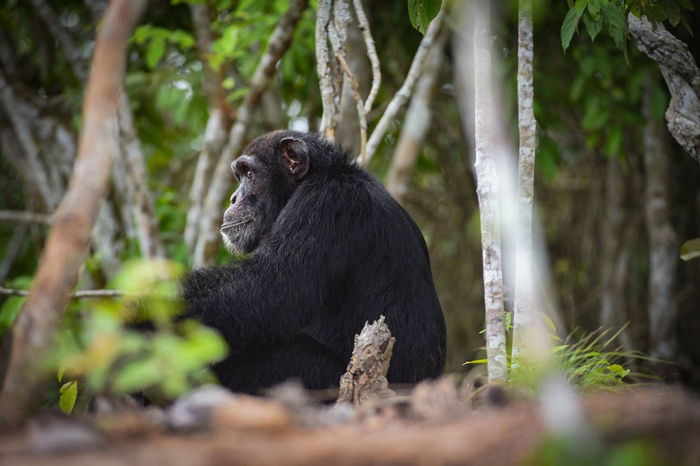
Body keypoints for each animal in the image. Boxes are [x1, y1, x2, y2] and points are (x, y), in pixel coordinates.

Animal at [183, 130, 446, 394]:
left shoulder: (324, 204)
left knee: (291, 354)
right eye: (239, 175)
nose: (233, 197)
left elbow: (267, 288)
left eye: (249, 174)